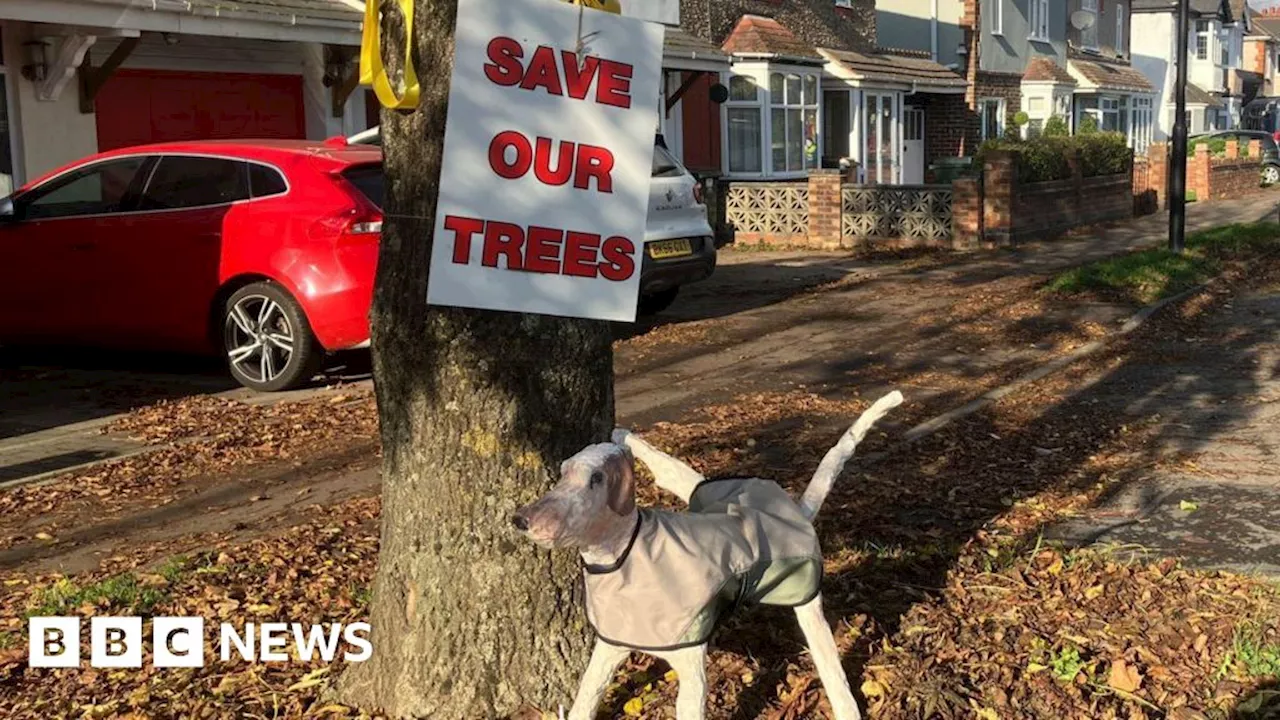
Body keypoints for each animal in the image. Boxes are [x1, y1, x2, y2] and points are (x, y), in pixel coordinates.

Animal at [509, 392, 901, 717]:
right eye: (562, 472)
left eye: (596, 480)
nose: (521, 519)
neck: (625, 553)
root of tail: (796, 513)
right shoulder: (610, 648)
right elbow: (584, 699)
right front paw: (621, 436)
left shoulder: (691, 668)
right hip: (706, 492)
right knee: (673, 472)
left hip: (806, 602)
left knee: (832, 668)